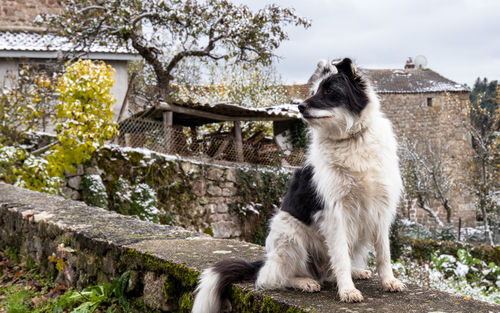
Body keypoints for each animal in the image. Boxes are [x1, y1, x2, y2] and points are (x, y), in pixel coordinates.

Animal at [192, 58, 406, 312]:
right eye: (313, 92)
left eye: (330, 91)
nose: (300, 107)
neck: (351, 139)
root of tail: (265, 261)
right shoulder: (335, 213)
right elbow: (341, 257)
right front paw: (347, 290)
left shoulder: (380, 209)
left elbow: (383, 254)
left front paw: (388, 281)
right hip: (289, 236)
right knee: (272, 278)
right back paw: (305, 282)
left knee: (328, 270)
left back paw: (354, 272)